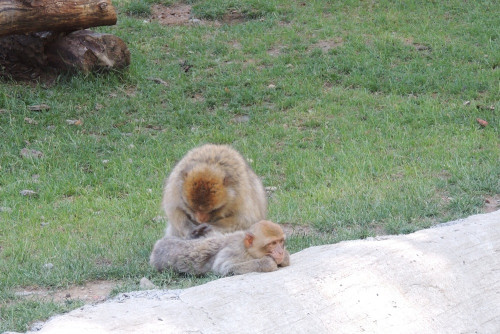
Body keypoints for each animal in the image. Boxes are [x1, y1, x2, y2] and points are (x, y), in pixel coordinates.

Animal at [149, 220, 290, 276]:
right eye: (272, 243)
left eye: (280, 241)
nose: (280, 251)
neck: (246, 249)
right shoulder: (233, 252)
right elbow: (225, 268)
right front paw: (267, 262)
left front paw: (284, 257)